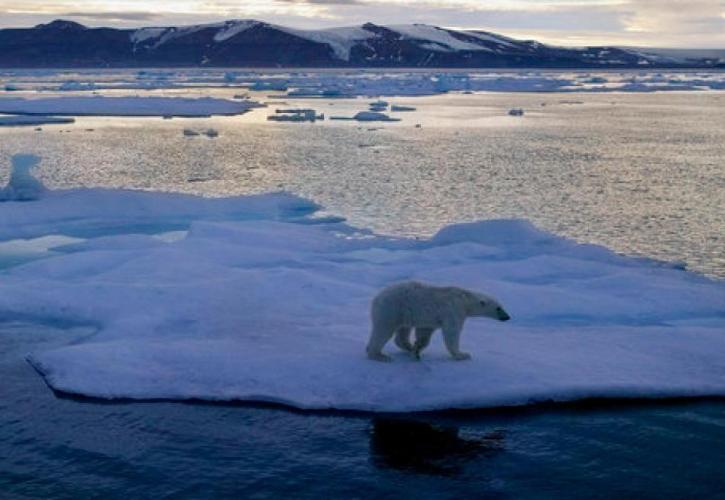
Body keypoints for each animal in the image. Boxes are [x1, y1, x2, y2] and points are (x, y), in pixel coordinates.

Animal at [368, 282, 510, 364]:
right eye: (498, 308)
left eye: (501, 306)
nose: (507, 317)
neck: (464, 299)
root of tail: (376, 299)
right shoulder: (453, 310)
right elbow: (452, 332)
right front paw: (462, 354)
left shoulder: (429, 319)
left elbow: (424, 333)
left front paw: (417, 349)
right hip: (391, 309)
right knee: (383, 331)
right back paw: (380, 355)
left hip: (404, 313)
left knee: (403, 331)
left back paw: (408, 347)